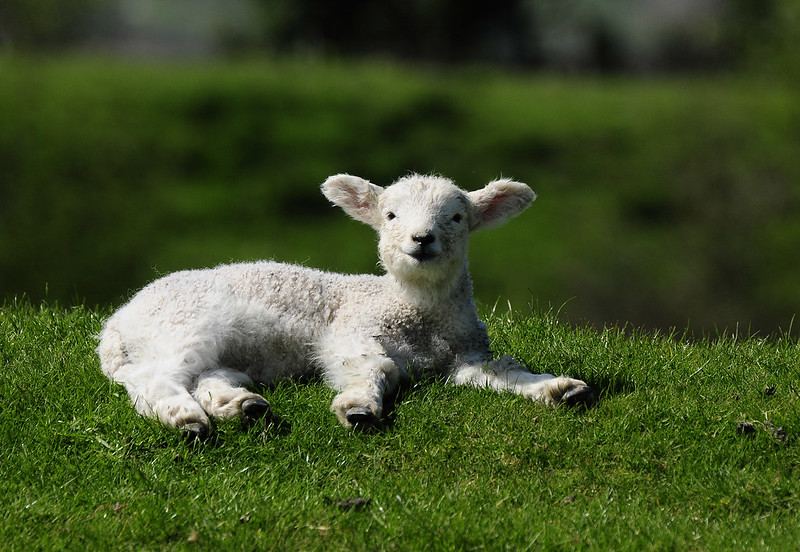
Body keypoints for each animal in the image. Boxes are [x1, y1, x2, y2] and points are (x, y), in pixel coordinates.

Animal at [97, 173, 592, 440]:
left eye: (456, 217)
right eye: (390, 216)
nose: (422, 239)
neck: (417, 316)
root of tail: (115, 325)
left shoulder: (466, 355)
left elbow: (501, 373)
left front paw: (558, 388)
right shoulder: (351, 331)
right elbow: (375, 368)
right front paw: (359, 408)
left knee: (207, 375)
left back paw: (242, 405)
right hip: (183, 322)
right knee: (152, 377)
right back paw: (185, 418)